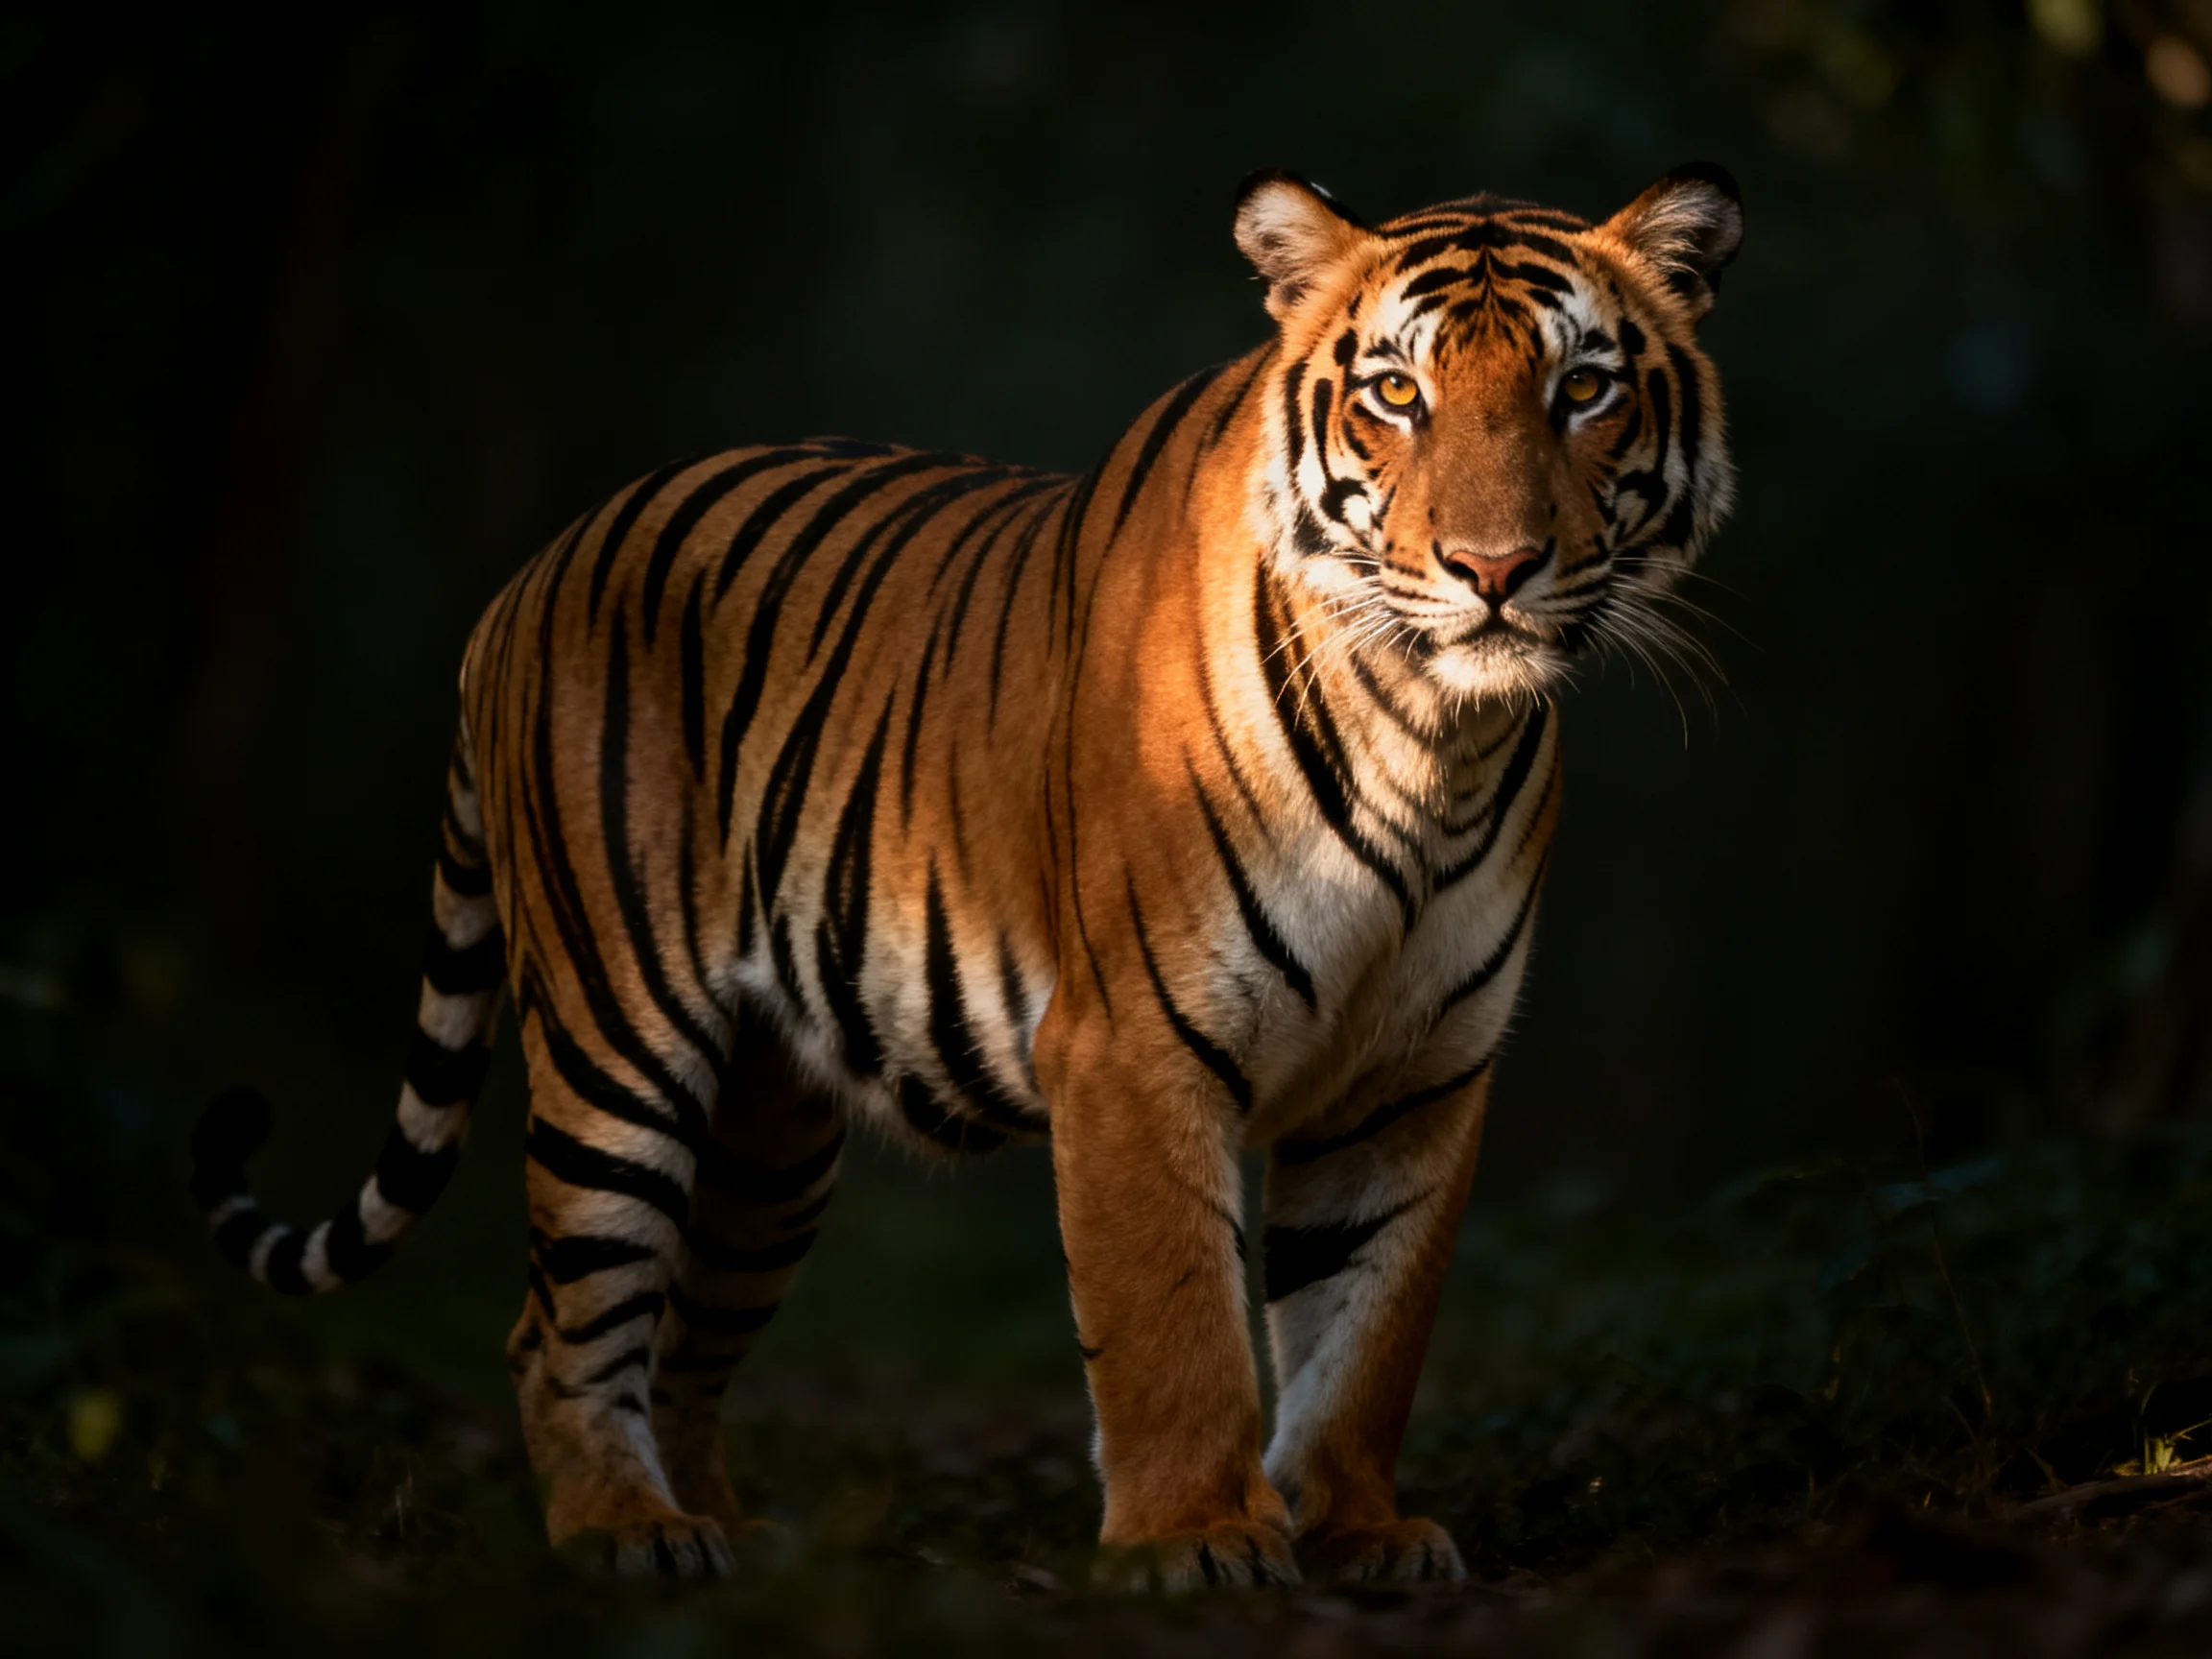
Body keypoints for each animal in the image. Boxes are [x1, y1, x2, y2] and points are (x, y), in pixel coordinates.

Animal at [190, 162, 1742, 1589]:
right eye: (1399, 395)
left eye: (1583, 390)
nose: (1495, 568)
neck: (1432, 736)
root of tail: (528, 575)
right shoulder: (1135, 1045)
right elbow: (1174, 1317)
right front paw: (1195, 1540)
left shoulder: (1414, 1075)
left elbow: (1367, 1330)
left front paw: (1360, 1532)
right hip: (615, 1041)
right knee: (561, 1319)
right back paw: (626, 1534)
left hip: (769, 1136)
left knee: (682, 1335)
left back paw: (734, 1536)